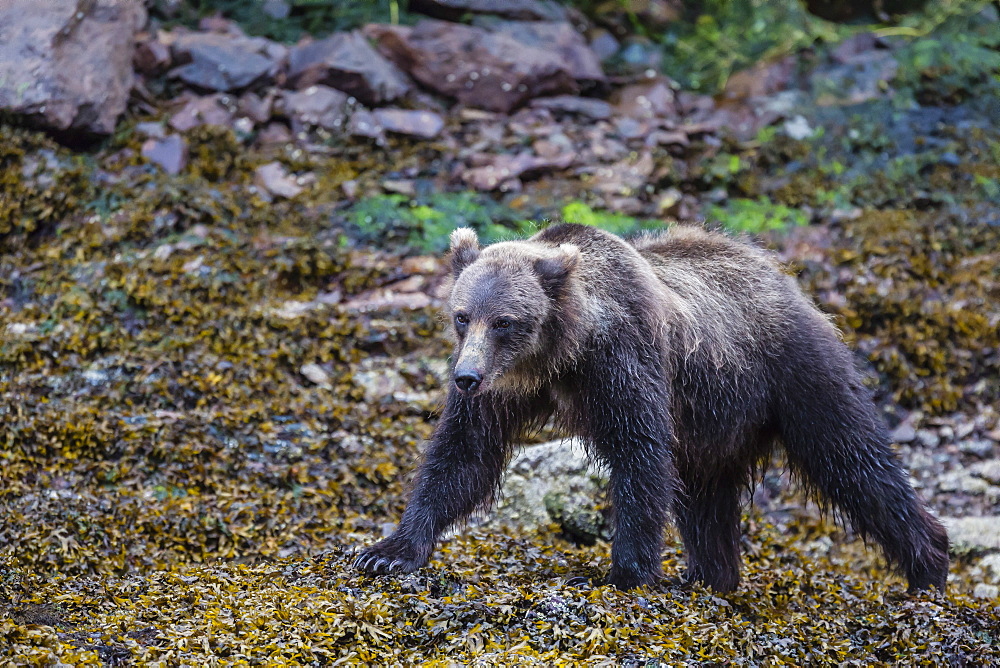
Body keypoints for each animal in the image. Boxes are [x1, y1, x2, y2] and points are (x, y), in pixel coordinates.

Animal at [356, 223, 948, 588]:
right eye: (463, 315)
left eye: (504, 320)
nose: (465, 378)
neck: (560, 354)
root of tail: (784, 277)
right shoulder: (507, 389)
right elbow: (464, 455)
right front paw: (387, 550)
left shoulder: (623, 359)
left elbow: (639, 454)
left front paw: (626, 573)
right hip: (716, 423)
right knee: (706, 503)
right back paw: (710, 578)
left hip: (794, 372)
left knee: (853, 461)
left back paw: (929, 567)